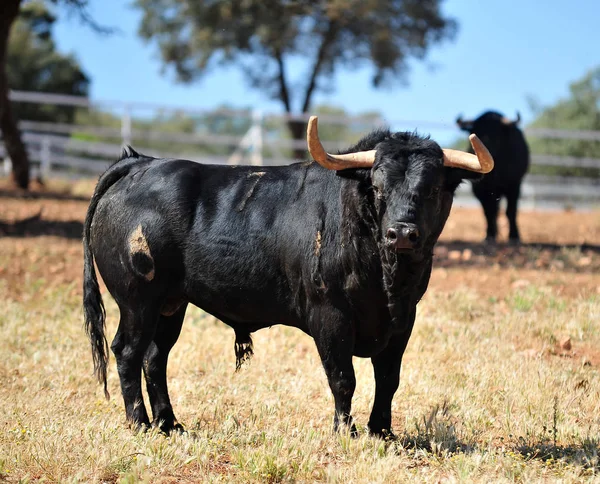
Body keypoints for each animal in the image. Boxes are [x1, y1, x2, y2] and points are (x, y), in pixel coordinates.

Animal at [85, 116, 496, 434]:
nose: (402, 233)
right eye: (378, 187)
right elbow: (343, 378)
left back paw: (170, 424)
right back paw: (140, 423)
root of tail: (142, 163)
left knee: (155, 357)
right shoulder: (329, 316)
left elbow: (388, 379)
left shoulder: (403, 320)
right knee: (127, 351)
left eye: (432, 188)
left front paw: (382, 431)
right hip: (138, 300)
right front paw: (346, 431)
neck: (385, 278)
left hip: (171, 304)